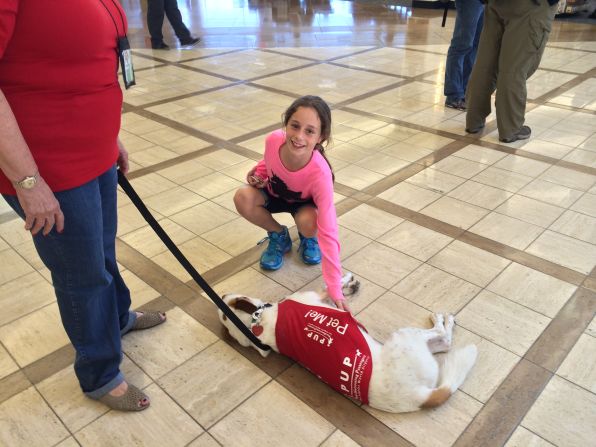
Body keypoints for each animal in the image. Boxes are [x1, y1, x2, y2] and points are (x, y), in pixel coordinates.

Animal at [220, 272, 480, 412]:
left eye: (225, 309)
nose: (220, 294)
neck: (260, 324)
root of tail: (420, 396)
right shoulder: (315, 295)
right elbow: (329, 285)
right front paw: (345, 279)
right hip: (406, 337)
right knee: (444, 338)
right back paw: (443, 320)